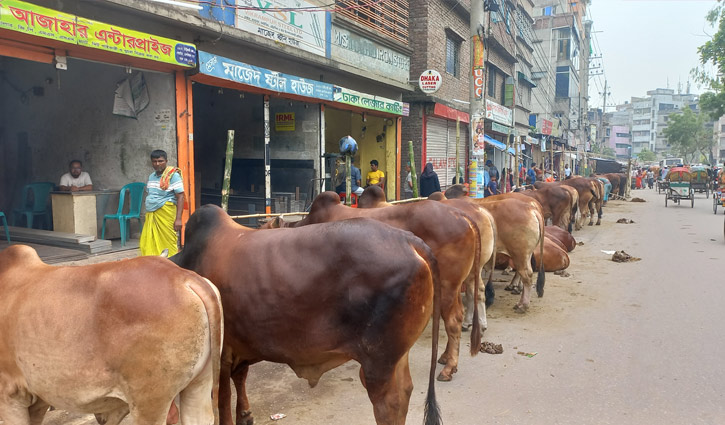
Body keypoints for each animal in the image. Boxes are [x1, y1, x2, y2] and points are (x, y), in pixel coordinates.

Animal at [173, 205, 450, 424]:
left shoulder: (222, 353)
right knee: (406, 390)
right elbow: (239, 379)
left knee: (389, 404)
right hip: (397, 356)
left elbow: (222, 399)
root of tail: (408, 240)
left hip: (378, 363)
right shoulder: (240, 347)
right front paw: (246, 415)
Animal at [270, 191, 486, 380]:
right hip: (453, 285)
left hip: (447, 285)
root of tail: (461, 215)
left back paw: (449, 368)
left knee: (453, 321)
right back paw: (445, 357)